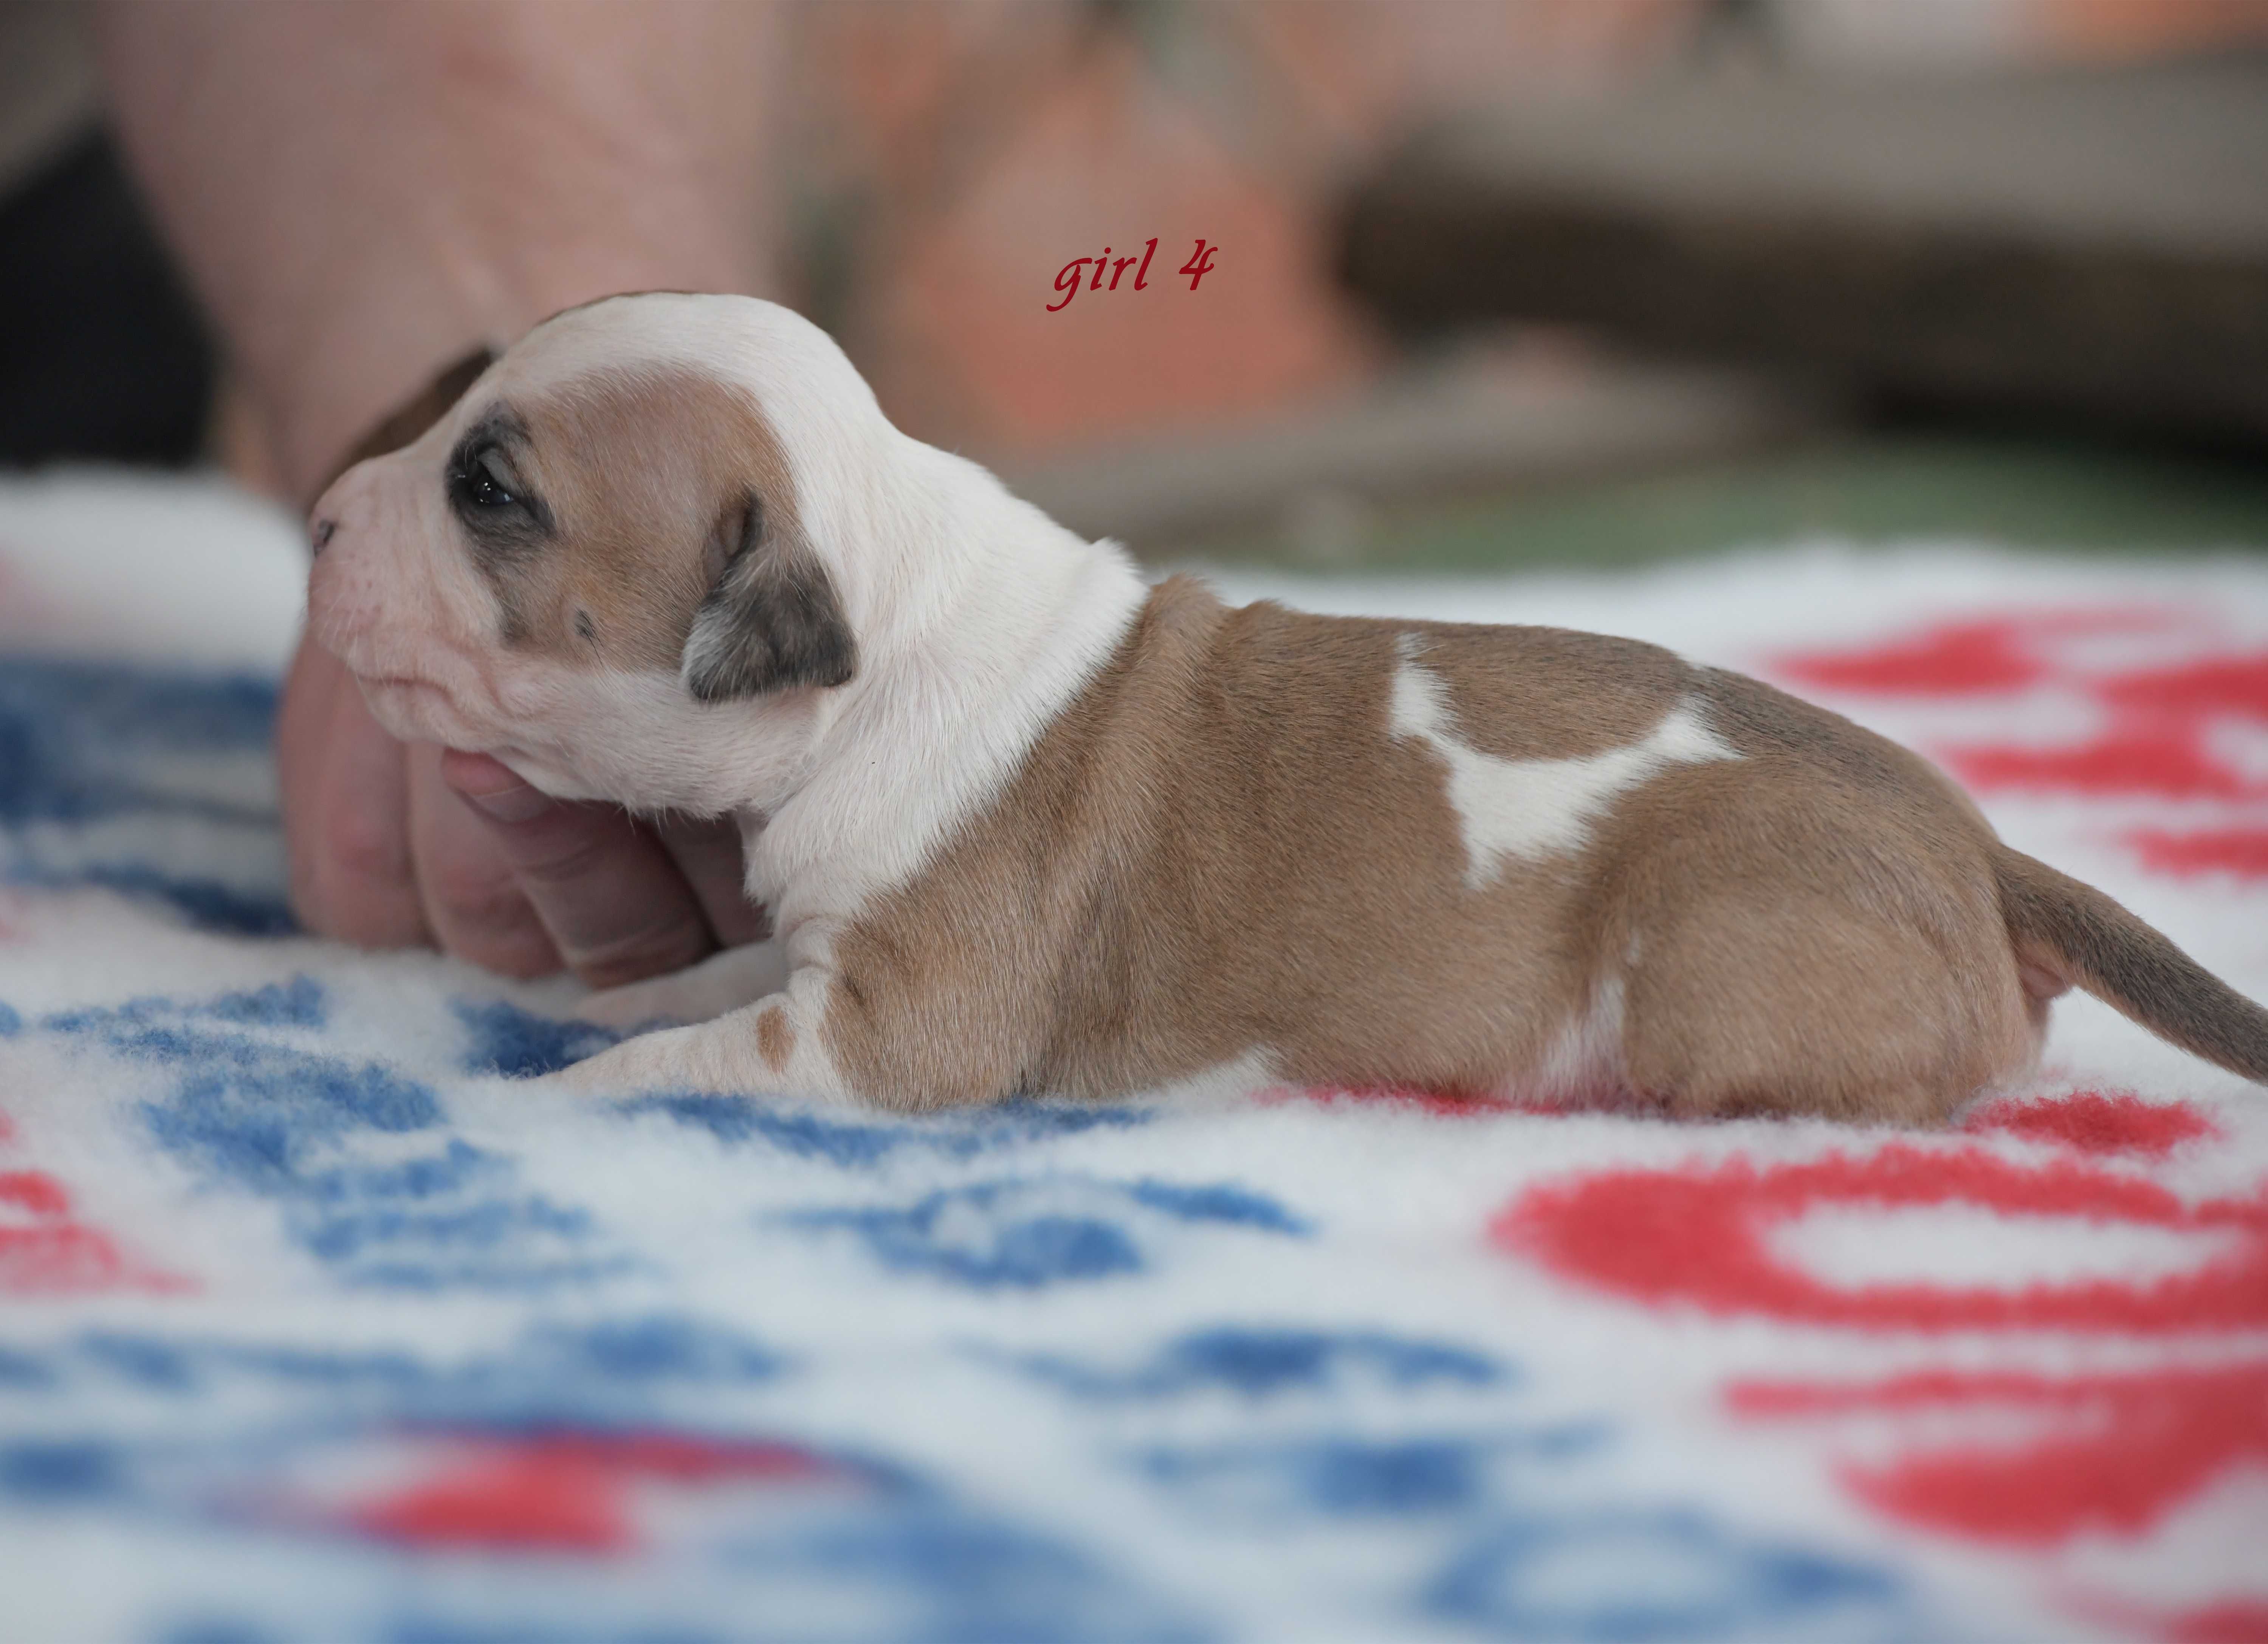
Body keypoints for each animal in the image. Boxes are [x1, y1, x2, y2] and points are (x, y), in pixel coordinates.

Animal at [311, 292, 2268, 1129]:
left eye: (489, 490)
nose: (321, 518)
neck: (887, 600)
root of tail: (1989, 857)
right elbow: (708, 983)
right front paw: (605, 990)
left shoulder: (890, 1033)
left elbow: (693, 1063)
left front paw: (559, 1092)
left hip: (1713, 955)